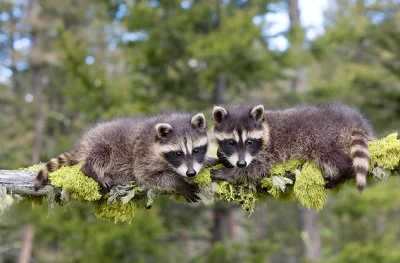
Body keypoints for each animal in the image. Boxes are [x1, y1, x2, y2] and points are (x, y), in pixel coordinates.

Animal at [35, 113, 214, 202]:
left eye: (196, 150)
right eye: (178, 153)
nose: (191, 173)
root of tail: (84, 141)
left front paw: (209, 160)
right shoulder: (143, 153)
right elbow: (147, 176)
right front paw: (179, 183)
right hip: (103, 143)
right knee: (100, 154)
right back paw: (92, 170)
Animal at [211, 103, 374, 192]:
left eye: (249, 142)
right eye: (231, 142)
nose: (241, 163)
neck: (265, 125)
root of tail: (352, 119)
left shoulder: (269, 151)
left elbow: (255, 168)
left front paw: (230, 173)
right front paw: (223, 157)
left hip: (323, 138)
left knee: (332, 156)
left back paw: (342, 171)